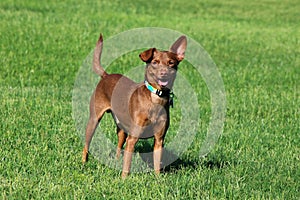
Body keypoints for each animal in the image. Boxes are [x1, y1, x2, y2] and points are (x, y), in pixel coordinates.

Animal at [81, 33, 186, 178]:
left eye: (171, 63)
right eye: (155, 62)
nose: (163, 73)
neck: (155, 98)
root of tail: (106, 76)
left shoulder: (159, 140)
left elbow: (157, 163)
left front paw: (158, 179)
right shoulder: (133, 138)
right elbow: (127, 164)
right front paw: (124, 180)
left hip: (122, 129)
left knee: (119, 146)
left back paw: (116, 161)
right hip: (94, 120)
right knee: (86, 144)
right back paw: (83, 163)